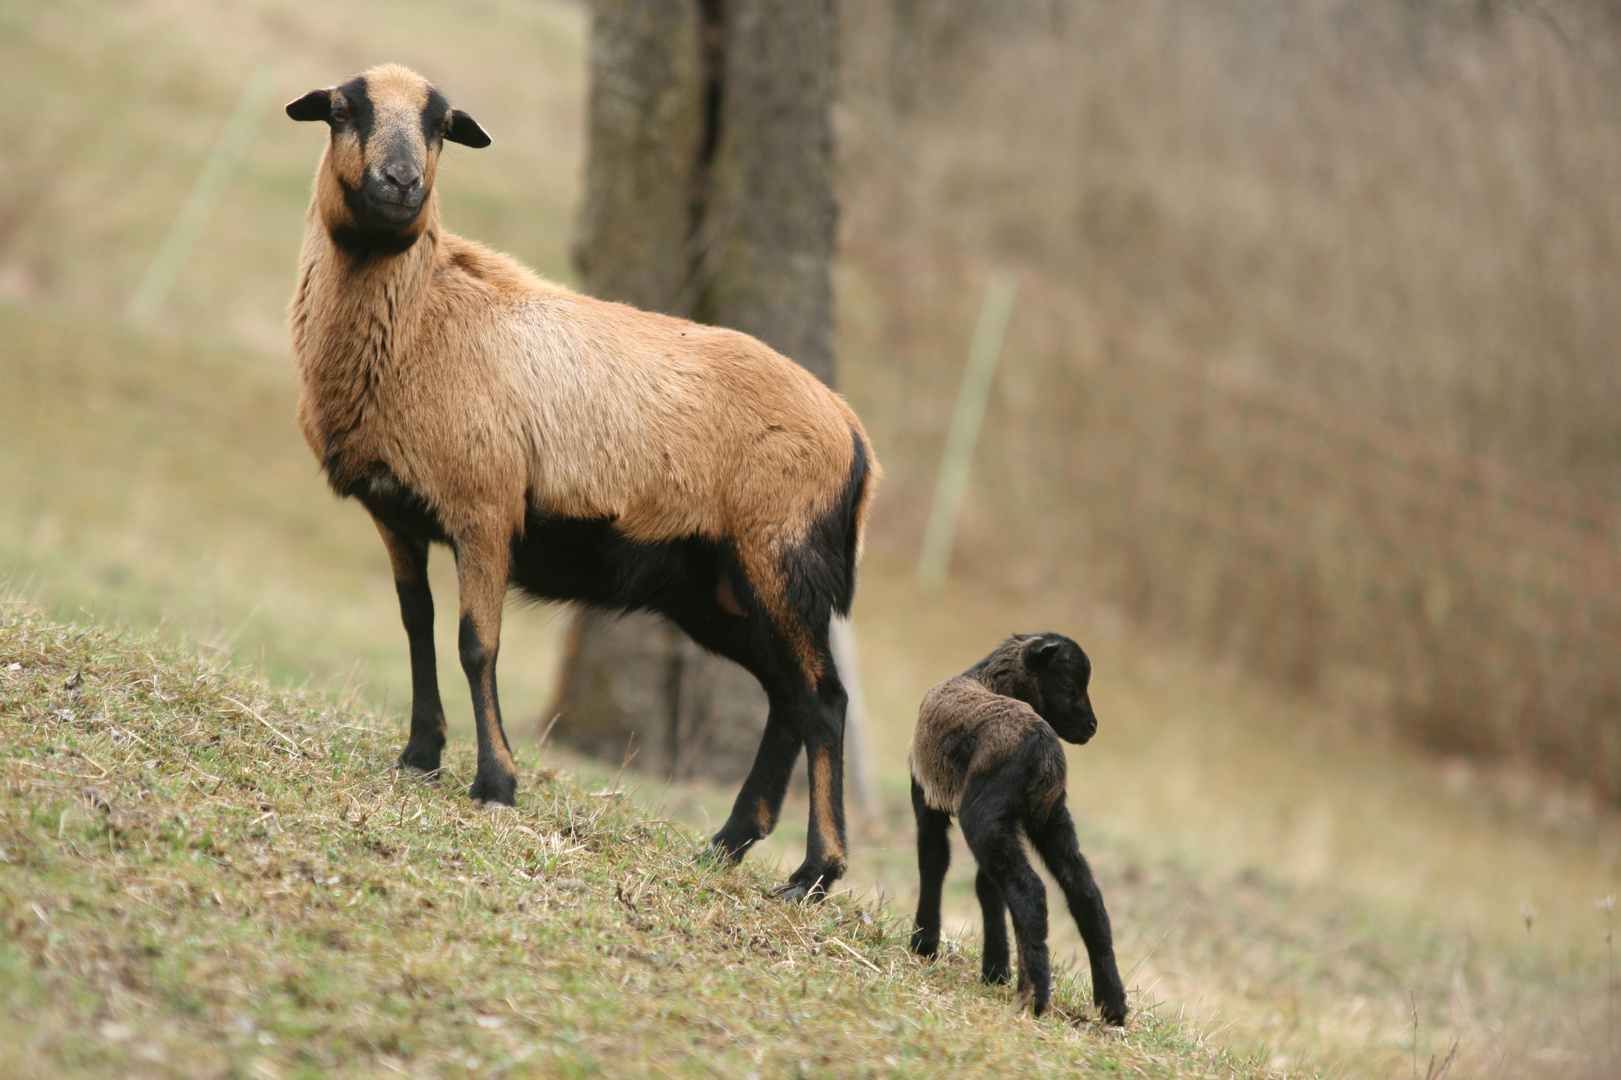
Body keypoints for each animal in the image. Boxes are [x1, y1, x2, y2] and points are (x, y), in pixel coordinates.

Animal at [285, 63, 881, 895]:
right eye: (343, 110)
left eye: (440, 126)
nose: (402, 183)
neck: (422, 321)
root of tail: (853, 433)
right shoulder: (396, 512)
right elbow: (416, 626)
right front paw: (419, 757)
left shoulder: (485, 507)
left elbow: (476, 643)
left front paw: (495, 784)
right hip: (710, 586)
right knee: (786, 696)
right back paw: (729, 841)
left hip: (780, 559)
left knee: (824, 699)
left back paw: (814, 873)